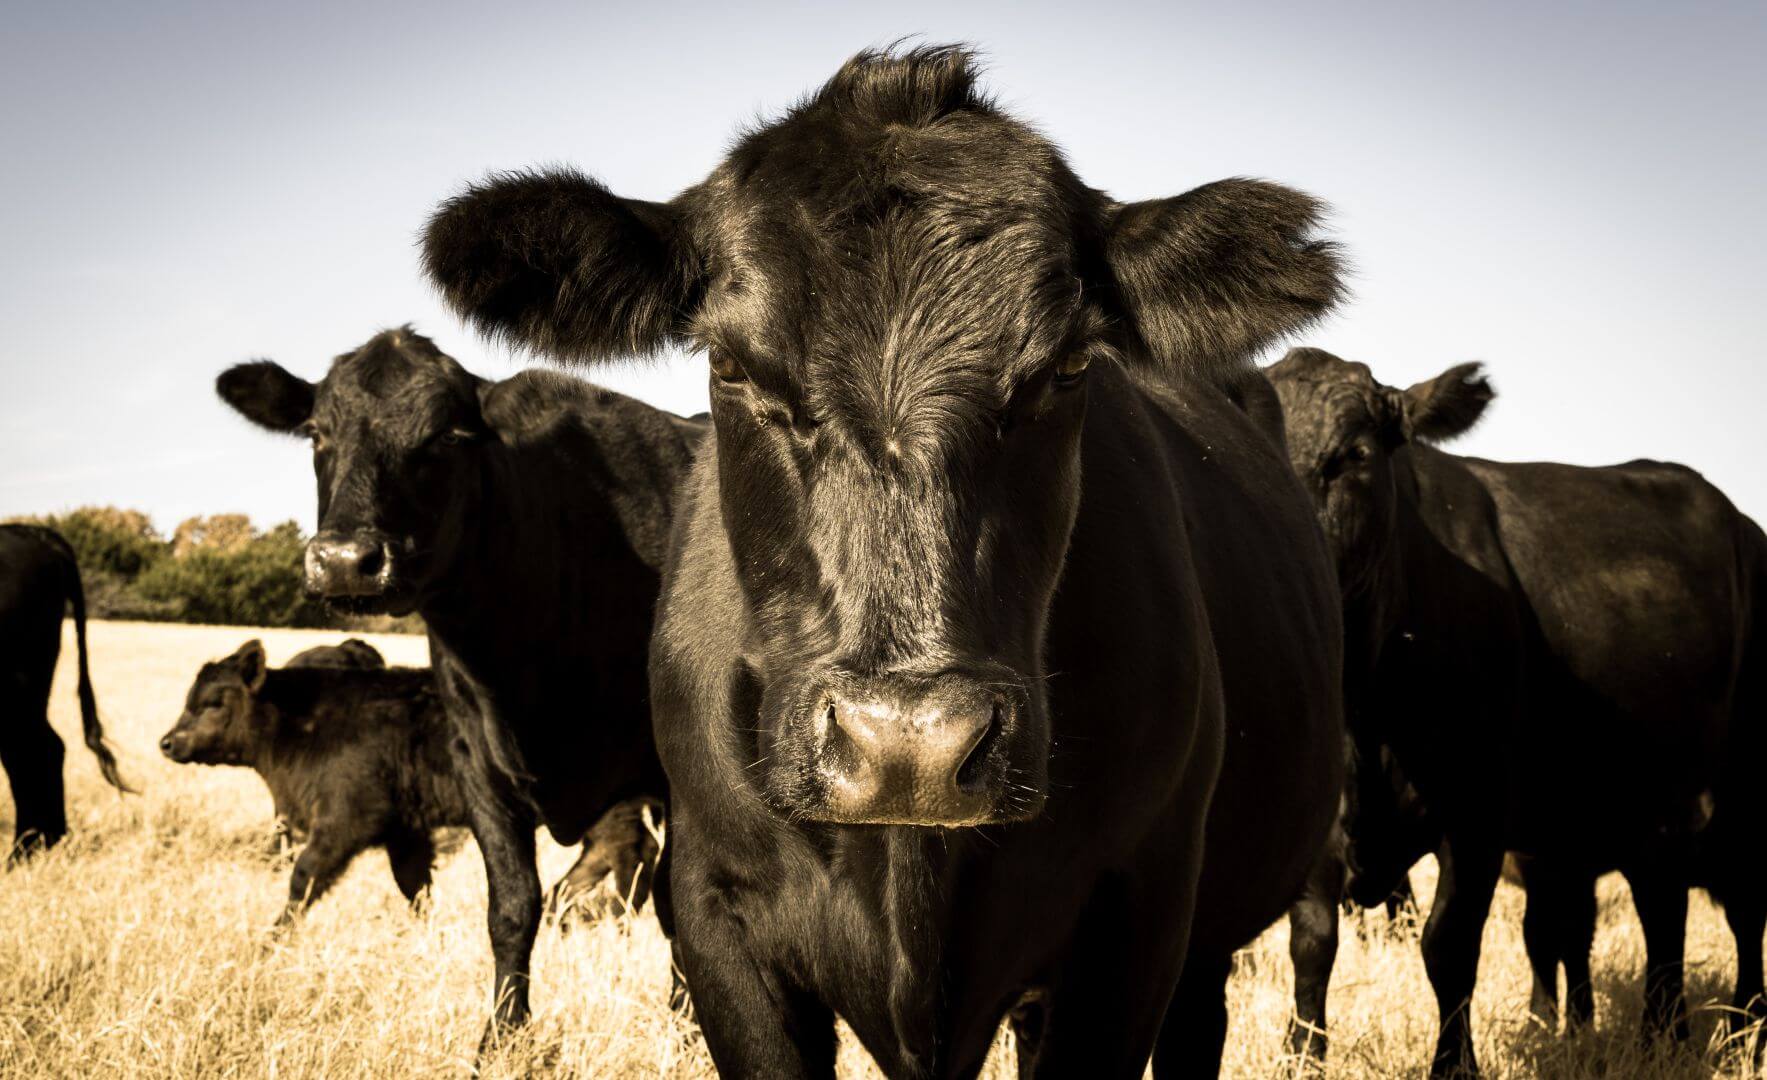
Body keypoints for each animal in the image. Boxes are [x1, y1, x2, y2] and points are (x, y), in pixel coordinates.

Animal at [214, 328, 703, 1048]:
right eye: (316, 433)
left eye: (445, 435)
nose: (345, 561)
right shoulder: (479, 764)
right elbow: (513, 906)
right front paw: (500, 1038)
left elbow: (679, 905)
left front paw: (691, 1025)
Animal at [1267, 346, 1766, 1077]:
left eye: (1354, 455)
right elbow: (1312, 943)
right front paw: (1300, 1055)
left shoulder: (1477, 811)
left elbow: (1448, 945)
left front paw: (1455, 1064)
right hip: (1647, 804)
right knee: (1661, 905)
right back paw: (1663, 1036)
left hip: (1739, 798)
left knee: (1742, 911)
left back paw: (1743, 1030)